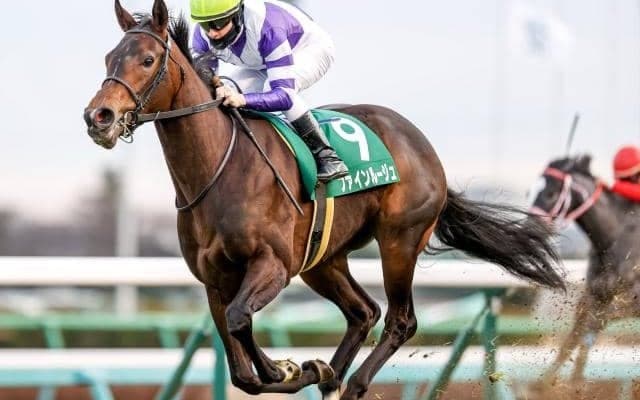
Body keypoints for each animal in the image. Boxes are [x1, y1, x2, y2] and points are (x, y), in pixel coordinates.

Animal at [83, 1, 564, 398]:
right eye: (108, 58)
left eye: (148, 60)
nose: (98, 117)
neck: (219, 172)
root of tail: (424, 148)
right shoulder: (213, 279)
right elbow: (240, 367)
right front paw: (302, 368)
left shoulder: (274, 265)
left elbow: (241, 321)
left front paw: (287, 368)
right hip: (323, 259)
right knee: (363, 312)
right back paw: (330, 373)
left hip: (399, 239)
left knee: (400, 319)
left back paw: (352, 383)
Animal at [528, 154, 640, 387]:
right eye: (529, 192)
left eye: (550, 193)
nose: (529, 227)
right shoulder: (594, 295)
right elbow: (573, 337)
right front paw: (547, 383)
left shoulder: (633, 303)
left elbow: (590, 326)